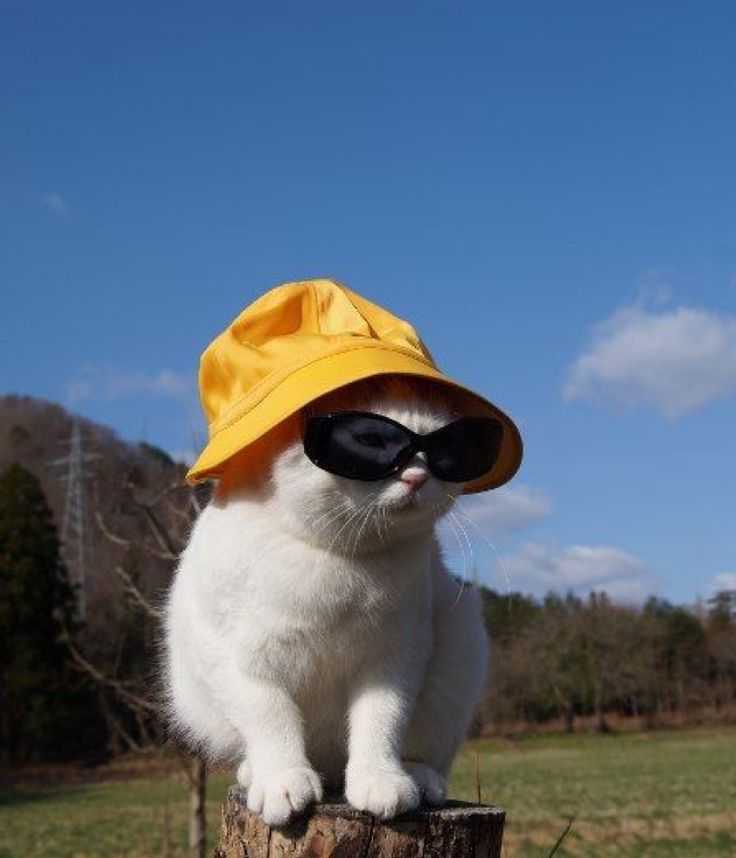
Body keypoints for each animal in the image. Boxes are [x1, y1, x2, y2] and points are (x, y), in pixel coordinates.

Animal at [164, 372, 492, 824]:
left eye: (441, 449)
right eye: (370, 441)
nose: (416, 478)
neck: (340, 557)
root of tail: (331, 770)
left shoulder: (396, 657)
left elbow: (381, 723)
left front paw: (380, 781)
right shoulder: (237, 660)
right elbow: (272, 719)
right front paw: (283, 781)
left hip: (460, 649)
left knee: (423, 753)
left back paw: (417, 779)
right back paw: (258, 774)